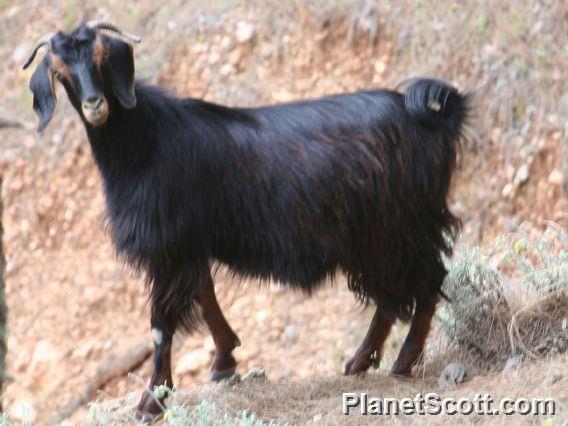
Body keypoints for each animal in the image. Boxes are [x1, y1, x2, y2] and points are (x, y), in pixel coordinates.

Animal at [23, 21, 470, 418]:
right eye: (59, 71)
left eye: (101, 58)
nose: (95, 105)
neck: (146, 141)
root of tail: (434, 118)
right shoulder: (189, 243)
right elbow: (205, 296)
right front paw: (225, 362)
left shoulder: (167, 244)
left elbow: (161, 326)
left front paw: (151, 402)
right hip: (374, 238)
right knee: (393, 297)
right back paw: (360, 362)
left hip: (398, 226)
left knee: (426, 283)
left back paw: (402, 361)